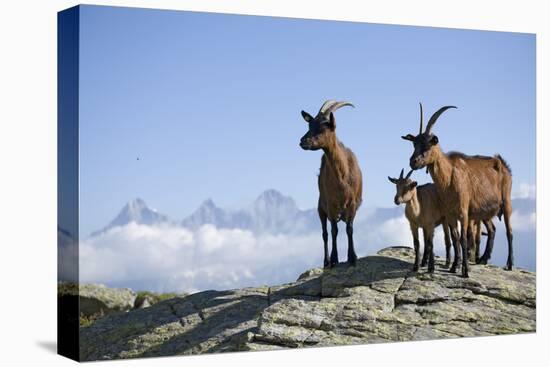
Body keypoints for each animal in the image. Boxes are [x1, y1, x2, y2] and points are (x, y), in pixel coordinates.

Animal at [300, 100, 364, 268]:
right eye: (310, 125)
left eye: (324, 126)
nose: (302, 141)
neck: (342, 177)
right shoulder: (331, 204)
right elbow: (334, 230)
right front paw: (335, 259)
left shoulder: (353, 204)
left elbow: (349, 229)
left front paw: (352, 257)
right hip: (320, 208)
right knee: (325, 233)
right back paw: (326, 261)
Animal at [404, 102, 516, 278]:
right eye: (414, 144)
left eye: (429, 144)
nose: (413, 161)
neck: (449, 176)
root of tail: (503, 164)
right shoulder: (450, 214)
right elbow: (455, 238)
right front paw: (454, 266)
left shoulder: (463, 212)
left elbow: (463, 238)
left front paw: (465, 271)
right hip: (484, 212)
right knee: (492, 229)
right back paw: (483, 259)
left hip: (506, 202)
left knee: (509, 231)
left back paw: (509, 264)